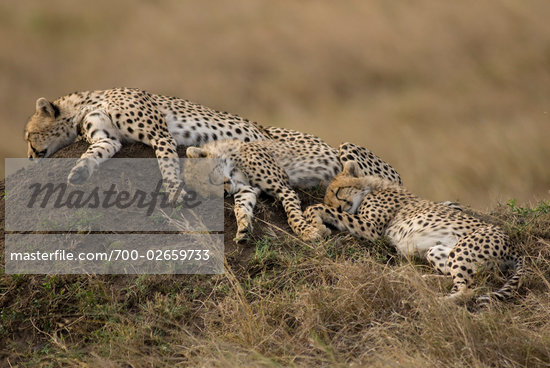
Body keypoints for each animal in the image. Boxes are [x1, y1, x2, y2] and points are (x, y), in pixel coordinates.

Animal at [183, 137, 404, 243]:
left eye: (210, 179)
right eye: (209, 193)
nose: (225, 193)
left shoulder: (283, 187)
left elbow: (291, 214)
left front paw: (307, 232)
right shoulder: (247, 189)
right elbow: (241, 208)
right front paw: (243, 228)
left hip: (347, 148)